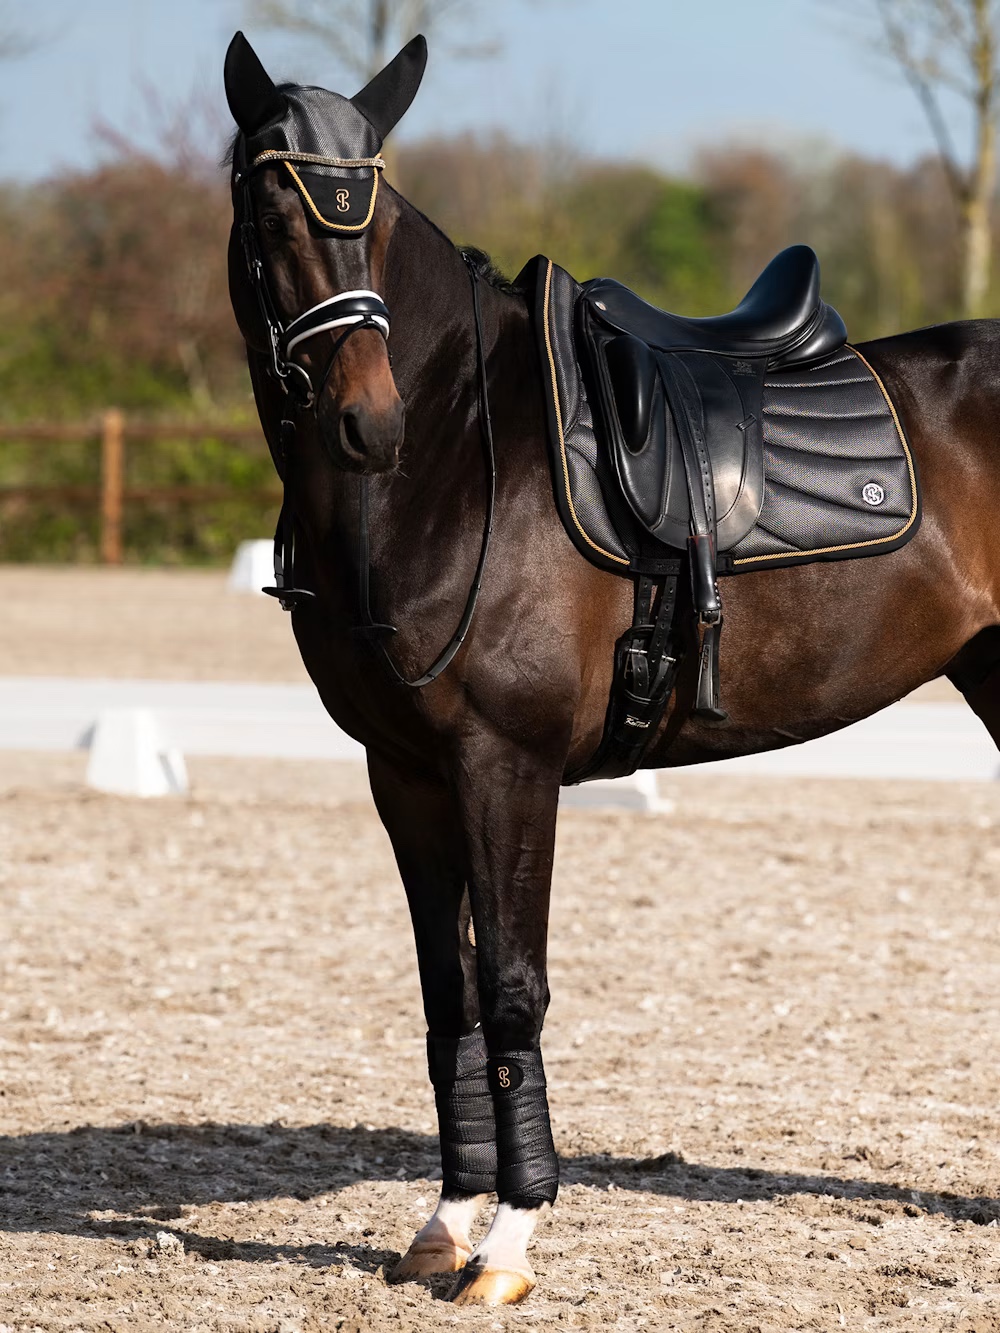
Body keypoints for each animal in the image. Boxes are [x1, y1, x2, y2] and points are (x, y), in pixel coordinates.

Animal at [223, 30, 1000, 1307]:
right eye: (271, 207)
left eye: (366, 212)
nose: (366, 422)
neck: (454, 454)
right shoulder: (406, 774)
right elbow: (448, 996)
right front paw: (446, 1222)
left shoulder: (507, 765)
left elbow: (511, 989)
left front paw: (508, 1243)